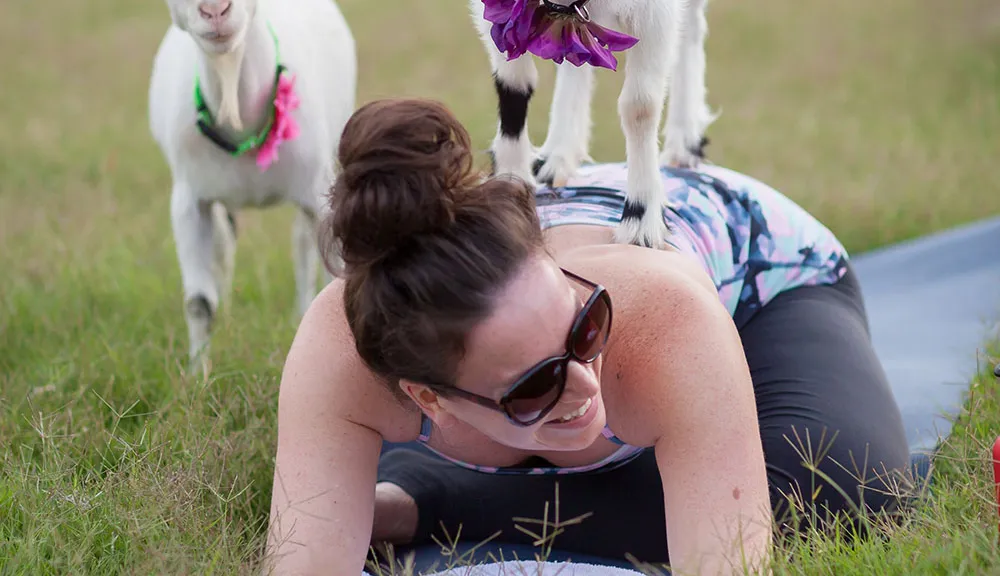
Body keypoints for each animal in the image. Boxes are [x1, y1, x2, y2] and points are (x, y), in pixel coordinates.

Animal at [146, 0, 354, 378]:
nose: (215, 10)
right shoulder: (188, 202)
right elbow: (199, 301)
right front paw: (198, 377)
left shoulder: (318, 192)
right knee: (226, 245)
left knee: (302, 244)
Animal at [466, 0, 712, 246]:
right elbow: (513, 81)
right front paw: (510, 185)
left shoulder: (656, 13)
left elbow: (640, 107)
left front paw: (640, 219)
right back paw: (559, 154)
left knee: (691, 24)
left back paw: (684, 145)